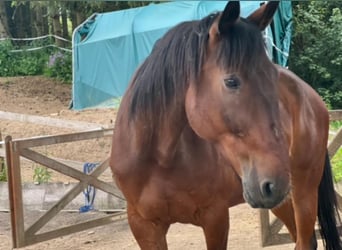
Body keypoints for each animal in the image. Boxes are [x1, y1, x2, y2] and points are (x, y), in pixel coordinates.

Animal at [110, 0, 342, 249]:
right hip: (280, 200)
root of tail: (311, 96)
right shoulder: (144, 226)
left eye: (273, 77)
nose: (276, 180)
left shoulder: (215, 217)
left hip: (304, 192)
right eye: (231, 81)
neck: (159, 158)